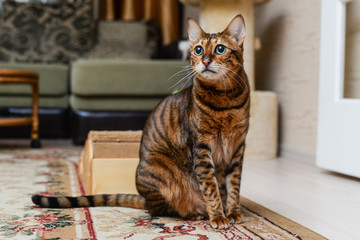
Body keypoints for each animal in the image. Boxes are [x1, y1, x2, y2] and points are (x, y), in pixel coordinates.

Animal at [31, 14, 250, 230]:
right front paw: (218, 217)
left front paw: (232, 212)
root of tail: (145, 198)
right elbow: (211, 188)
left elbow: (234, 186)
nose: (204, 61)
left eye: (220, 49)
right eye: (198, 50)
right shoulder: (202, 148)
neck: (225, 101)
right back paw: (194, 213)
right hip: (158, 172)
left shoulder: (238, 147)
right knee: (161, 209)